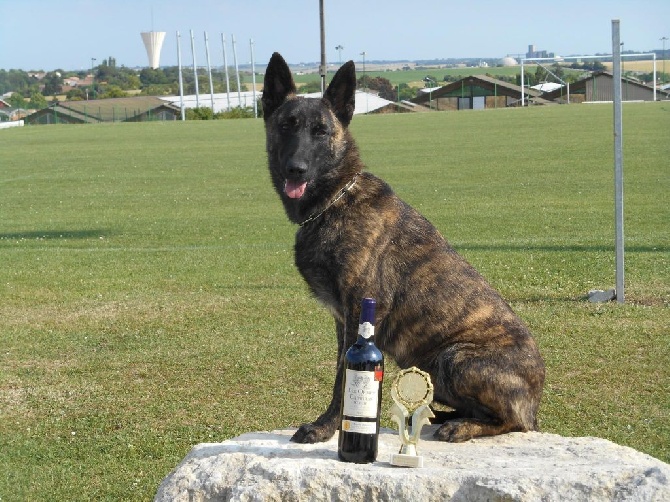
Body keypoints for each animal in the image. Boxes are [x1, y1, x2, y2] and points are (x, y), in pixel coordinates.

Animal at [262, 51, 544, 444]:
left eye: (321, 131)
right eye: (287, 126)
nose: (296, 170)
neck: (335, 200)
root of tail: (535, 399)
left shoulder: (359, 310)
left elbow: (343, 379)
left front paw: (326, 427)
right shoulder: (343, 320)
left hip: (454, 357)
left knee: (512, 421)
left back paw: (461, 426)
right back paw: (444, 416)